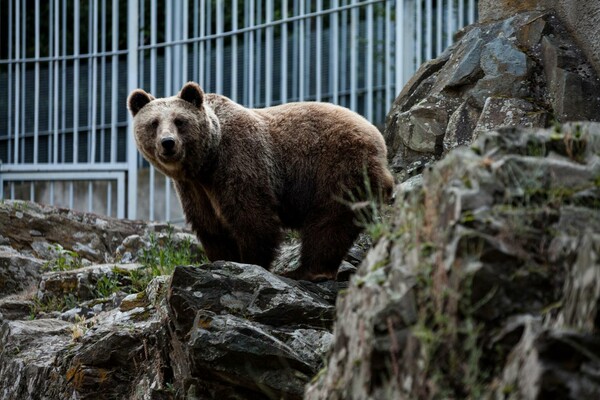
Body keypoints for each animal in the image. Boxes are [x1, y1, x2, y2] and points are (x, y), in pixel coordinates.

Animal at [126, 81, 394, 282]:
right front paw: (222, 259)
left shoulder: (240, 161)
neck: (206, 163)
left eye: (180, 121)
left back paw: (307, 270)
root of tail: (379, 137)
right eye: (153, 123)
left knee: (329, 220)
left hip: (337, 166)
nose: (168, 143)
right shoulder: (194, 189)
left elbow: (252, 217)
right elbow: (209, 225)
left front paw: (250, 263)